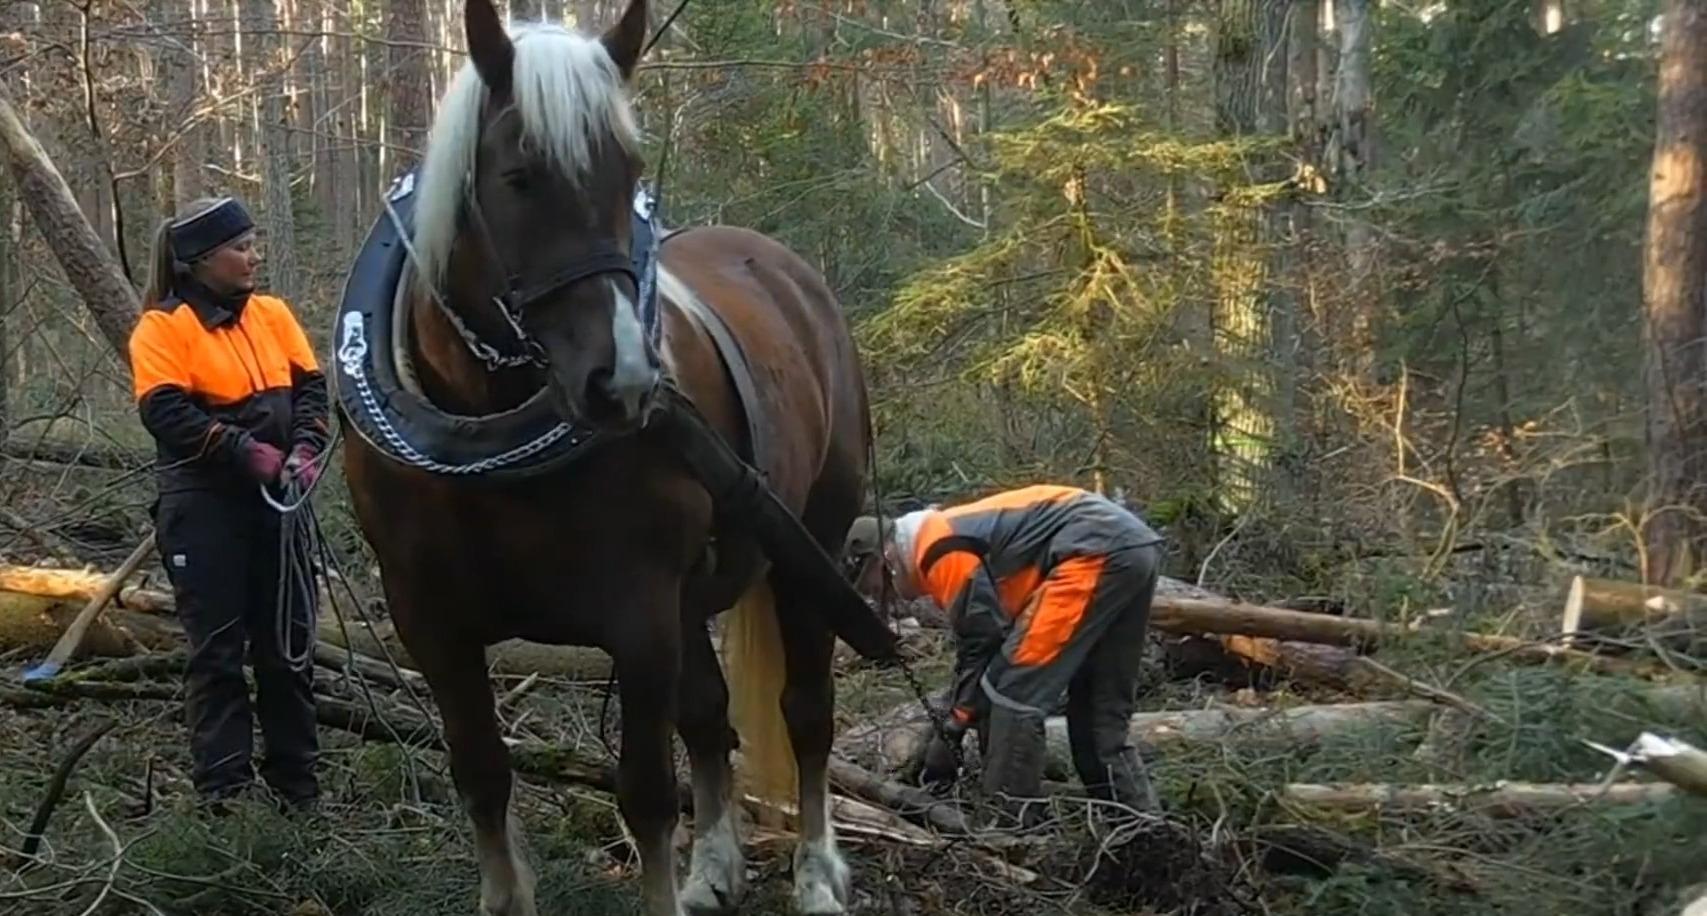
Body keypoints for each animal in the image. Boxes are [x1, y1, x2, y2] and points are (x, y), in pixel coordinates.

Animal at [343, 1, 880, 914]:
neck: (483, 454)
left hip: (807, 549)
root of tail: (788, 273)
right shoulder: (430, 622)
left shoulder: (639, 616)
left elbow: (646, 794)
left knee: (806, 712)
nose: (623, 381)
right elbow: (482, 775)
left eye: (627, 171)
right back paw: (715, 869)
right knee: (707, 714)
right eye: (518, 175)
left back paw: (815, 876)